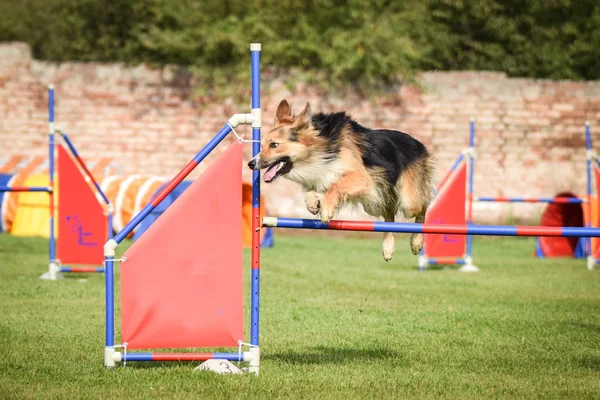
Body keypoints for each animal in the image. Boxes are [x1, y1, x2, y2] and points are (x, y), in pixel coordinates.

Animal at [246, 100, 434, 260]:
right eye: (261, 145)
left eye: (274, 145)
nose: (251, 163)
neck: (320, 149)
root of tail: (420, 145)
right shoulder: (325, 178)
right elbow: (314, 192)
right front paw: (314, 203)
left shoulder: (362, 178)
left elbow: (336, 187)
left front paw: (326, 210)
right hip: (374, 203)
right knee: (389, 216)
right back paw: (388, 248)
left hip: (409, 201)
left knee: (422, 209)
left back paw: (417, 242)